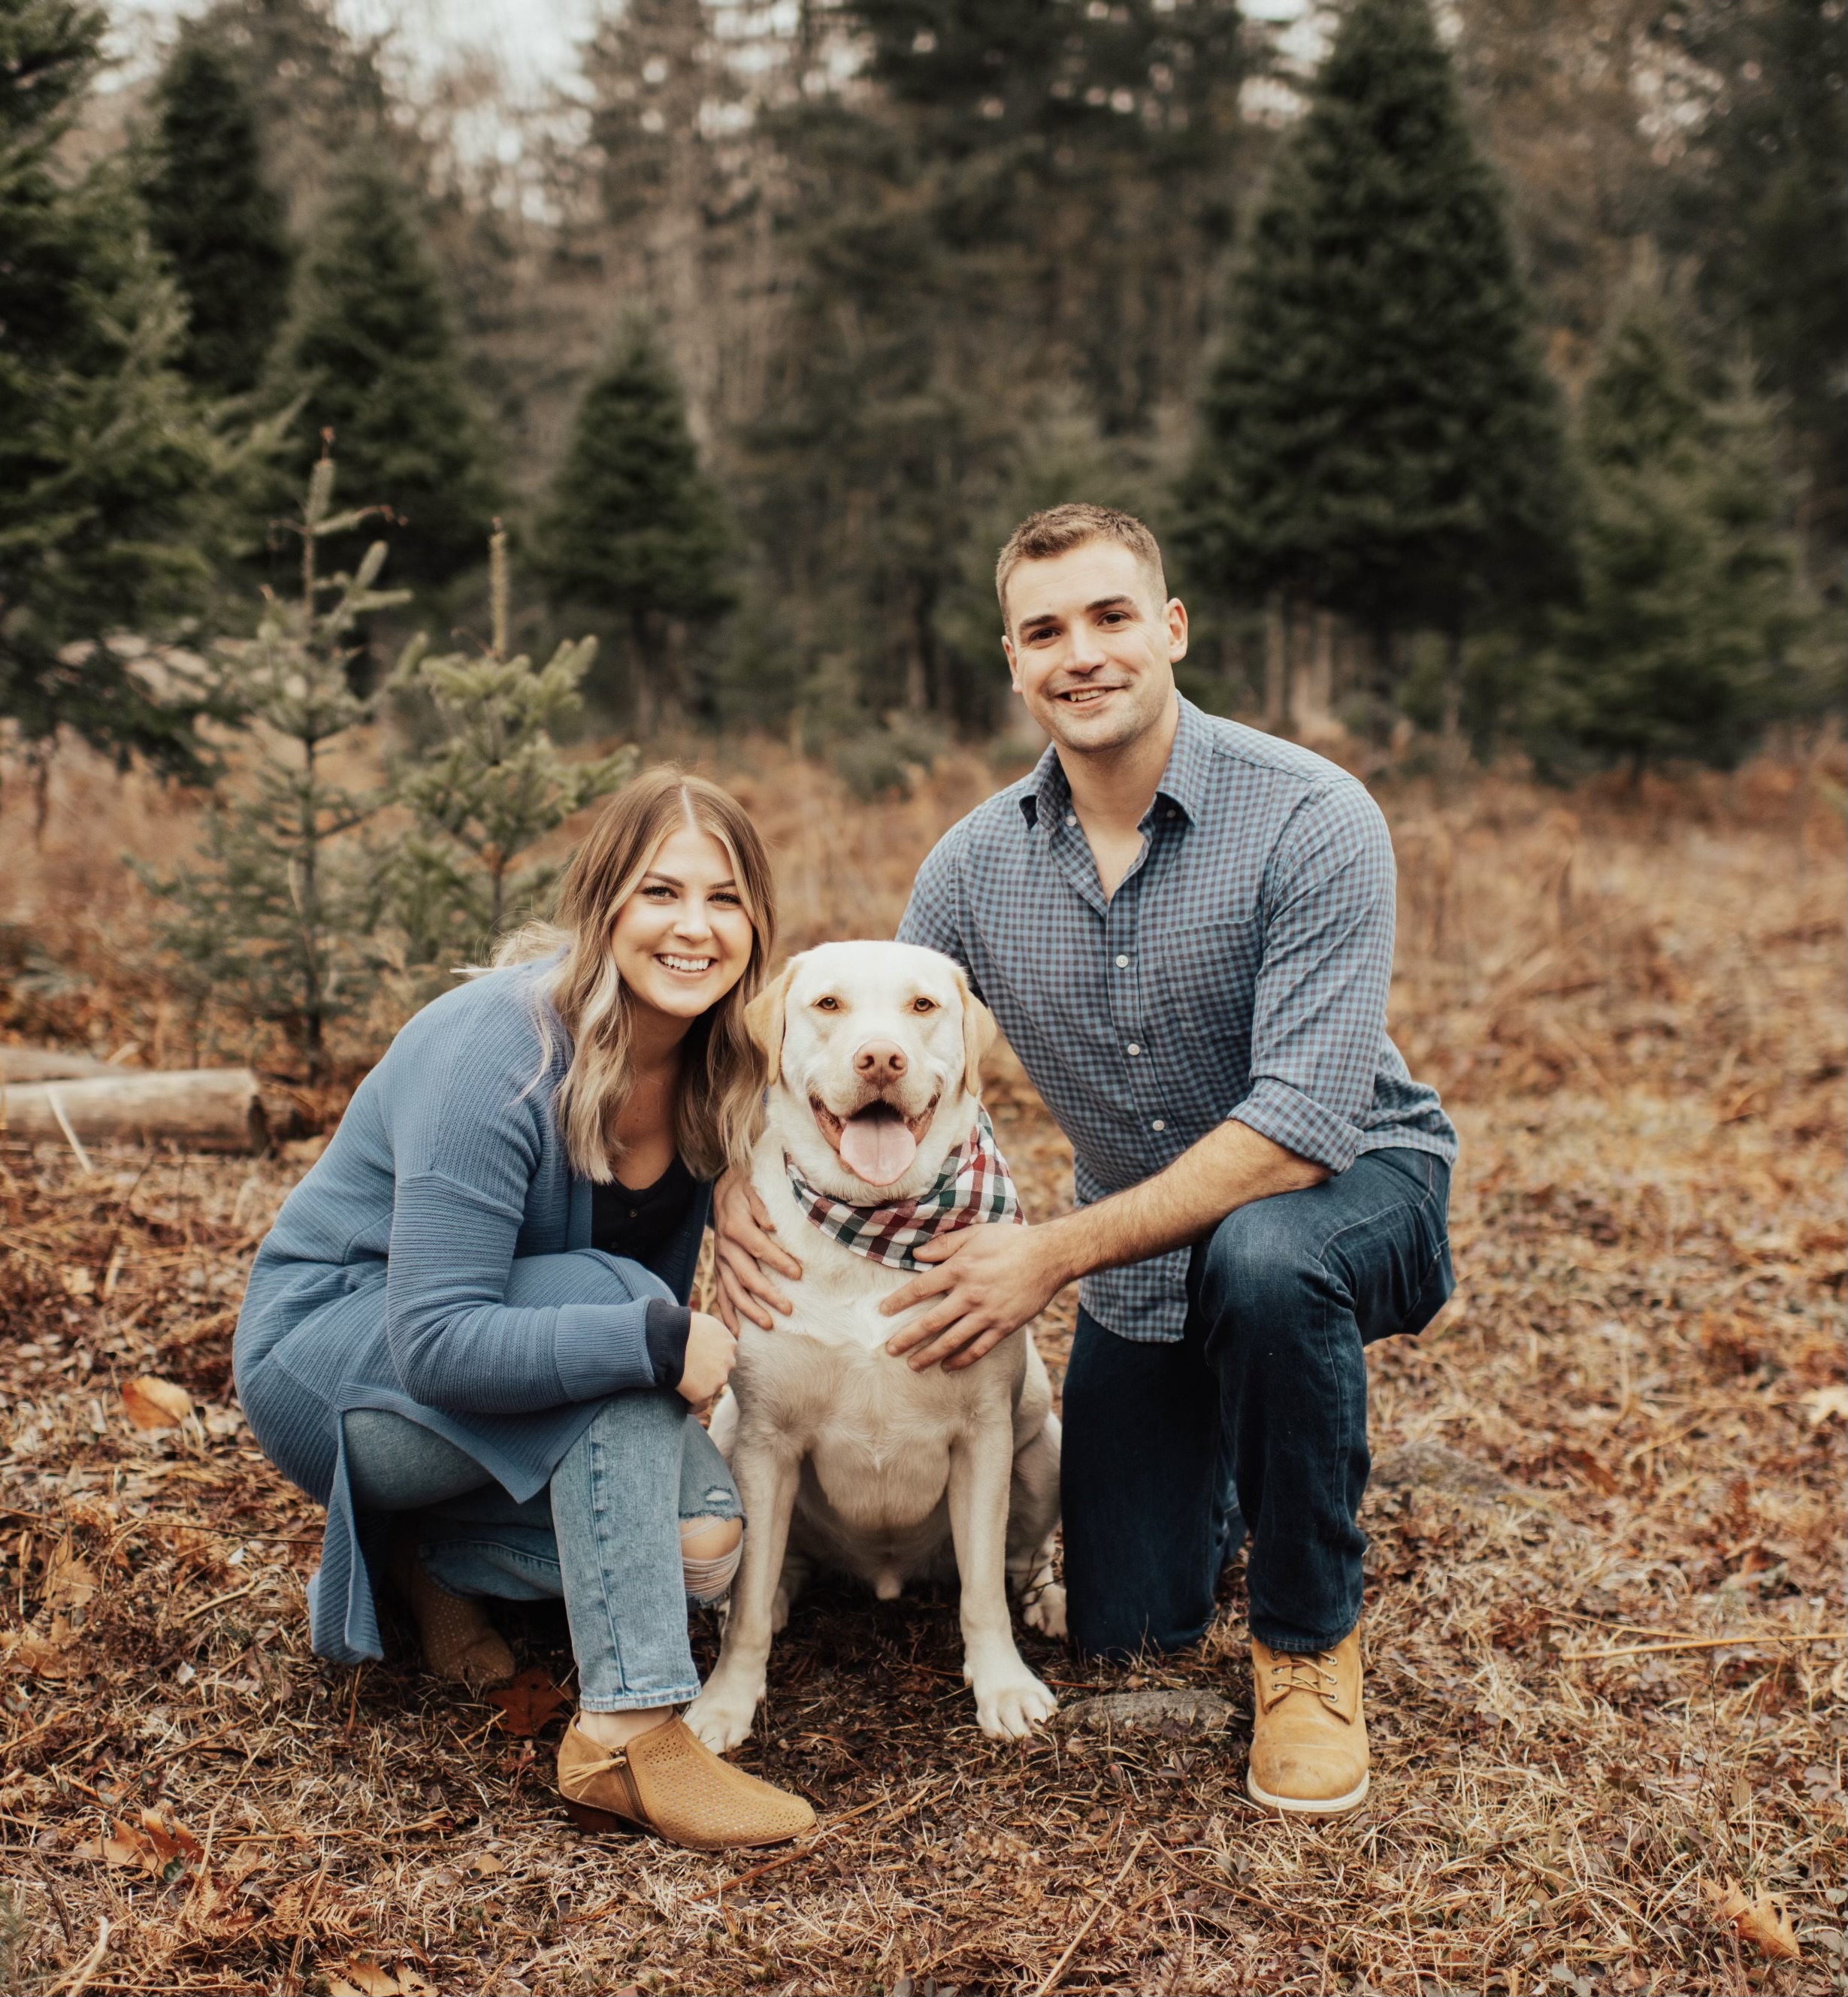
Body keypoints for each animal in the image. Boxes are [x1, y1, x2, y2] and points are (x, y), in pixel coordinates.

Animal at [683, 943, 1063, 1741]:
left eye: (922, 1005)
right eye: (828, 1004)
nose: (881, 1058)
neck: (874, 1227)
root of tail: (886, 1574)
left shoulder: (983, 1435)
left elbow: (983, 1590)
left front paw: (1003, 1685)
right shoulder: (766, 1441)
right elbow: (750, 1605)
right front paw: (728, 1698)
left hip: (1042, 1443)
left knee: (1023, 1557)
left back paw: (1047, 1600)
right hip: (729, 1429)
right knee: (772, 1573)